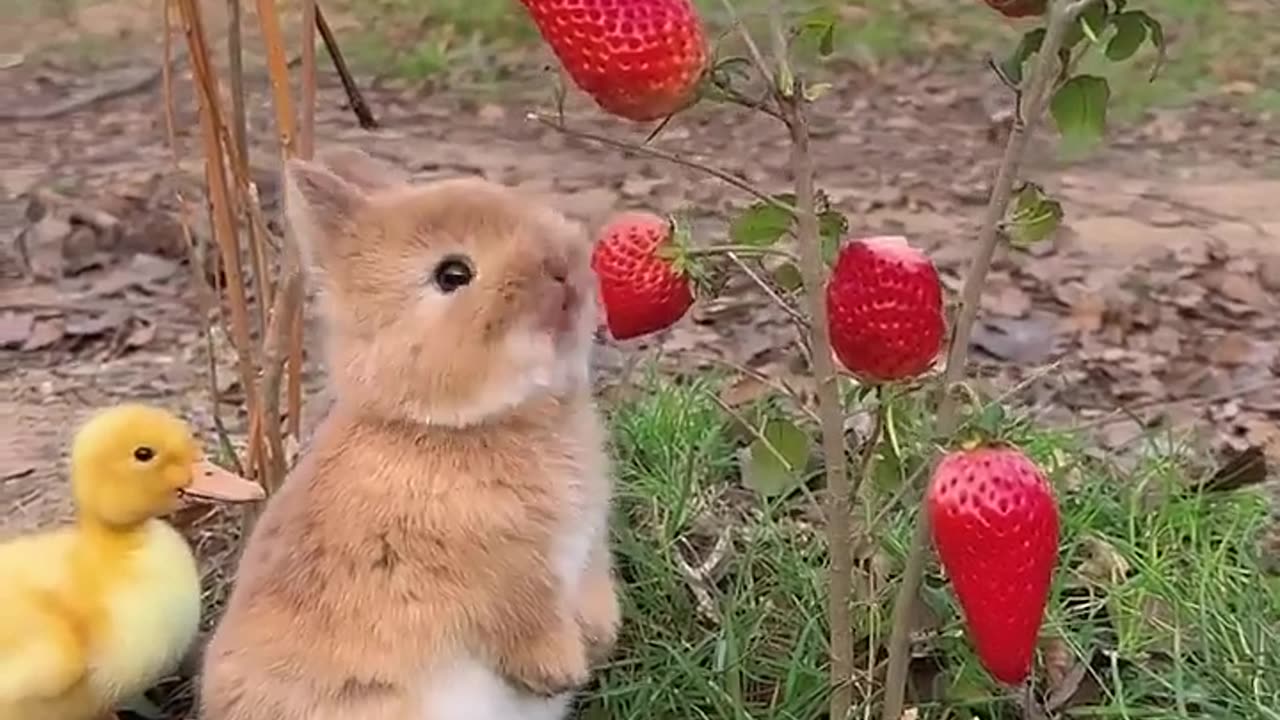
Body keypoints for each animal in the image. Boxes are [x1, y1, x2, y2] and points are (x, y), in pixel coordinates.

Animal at [198, 146, 619, 717]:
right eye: (452, 274)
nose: (564, 267)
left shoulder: (588, 546)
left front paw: (600, 638)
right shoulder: (501, 578)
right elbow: (525, 619)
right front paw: (561, 670)